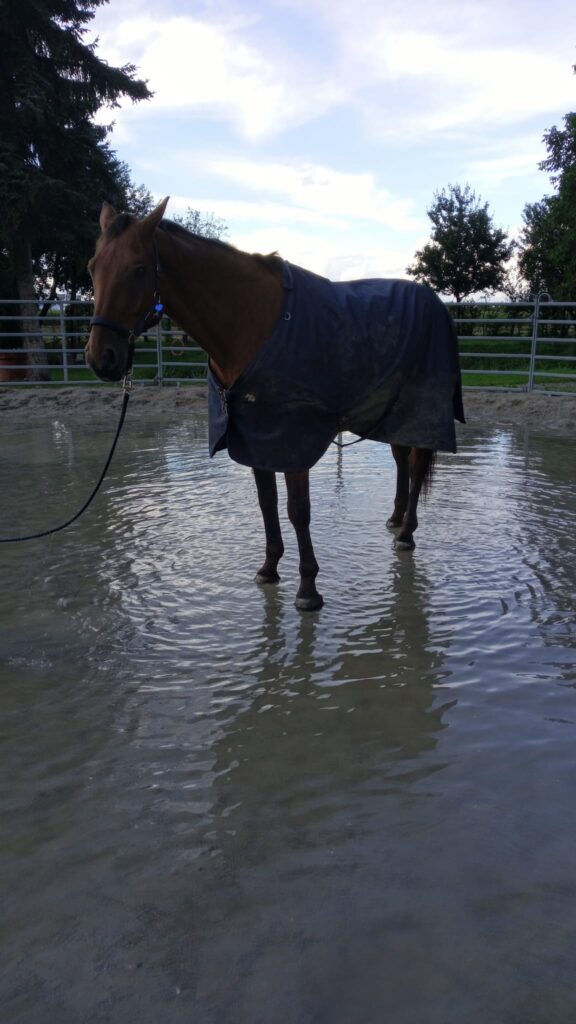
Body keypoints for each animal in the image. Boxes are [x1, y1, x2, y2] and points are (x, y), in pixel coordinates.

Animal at [85, 197, 465, 611]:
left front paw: (308, 589)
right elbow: (267, 503)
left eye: (139, 269)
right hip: (391, 413)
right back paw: (396, 519)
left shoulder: (292, 439)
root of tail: (435, 303)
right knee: (401, 460)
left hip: (422, 411)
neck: (250, 323)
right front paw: (269, 569)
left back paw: (407, 534)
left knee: (416, 463)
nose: (101, 358)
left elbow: (298, 511)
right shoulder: (256, 437)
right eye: (93, 267)